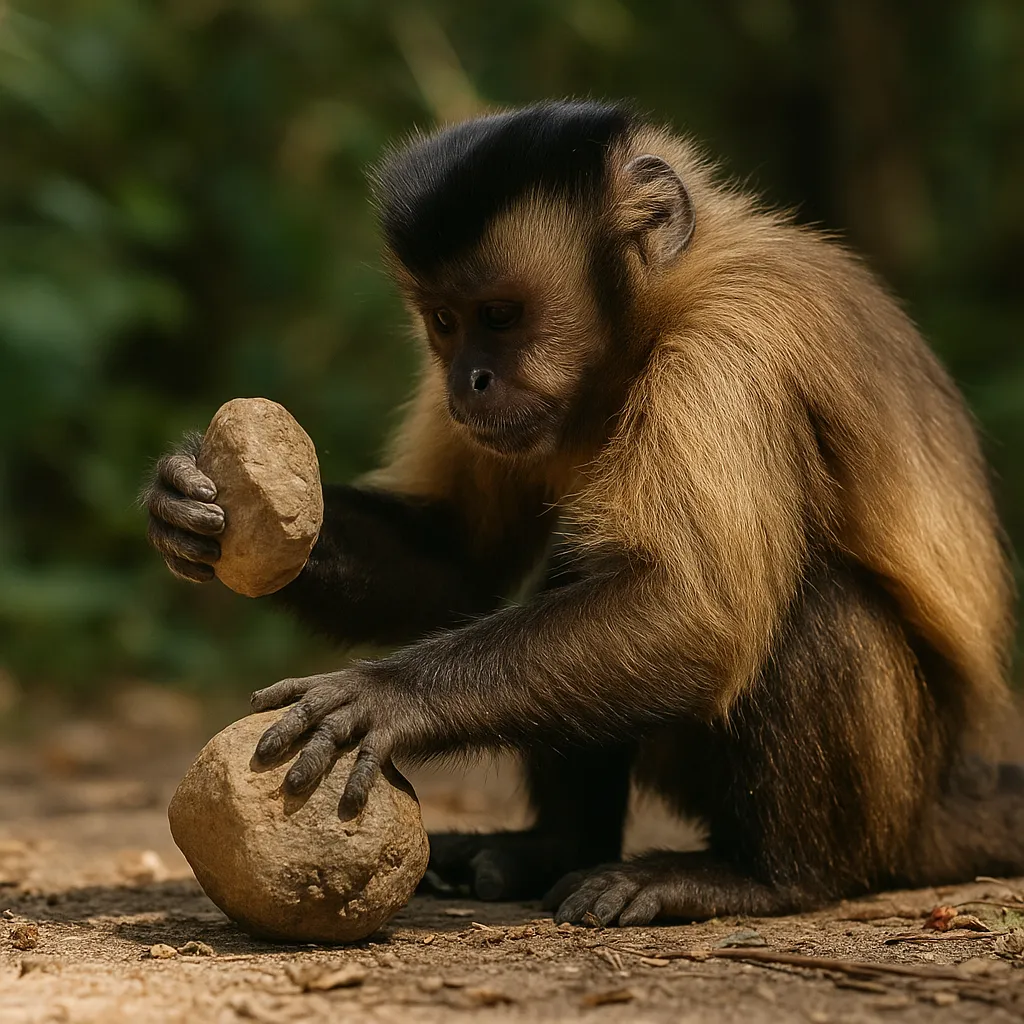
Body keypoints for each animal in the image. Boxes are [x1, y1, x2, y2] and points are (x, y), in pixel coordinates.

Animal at [145, 100, 1024, 926]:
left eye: (501, 315)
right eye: (444, 322)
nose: (467, 380)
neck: (652, 317)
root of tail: (947, 800)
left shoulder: (731, 345)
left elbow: (694, 612)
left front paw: (388, 698)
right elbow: (458, 560)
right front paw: (188, 501)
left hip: (895, 803)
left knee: (809, 607)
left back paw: (767, 878)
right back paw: (554, 849)